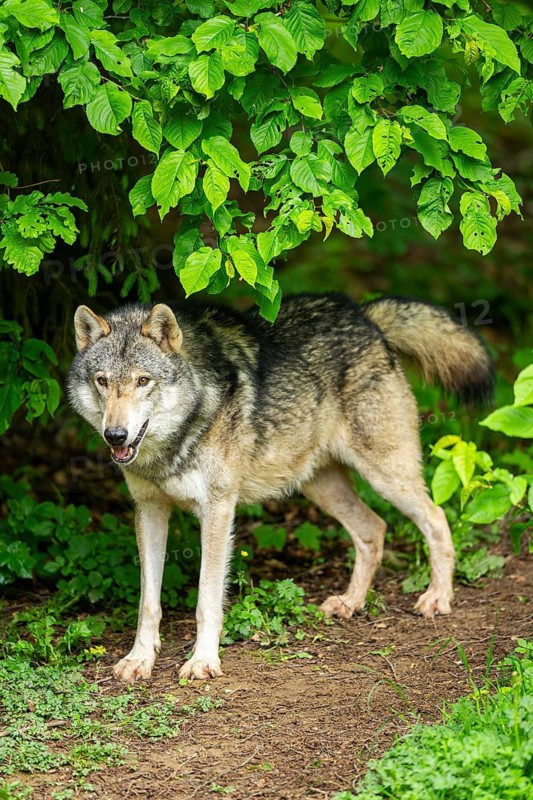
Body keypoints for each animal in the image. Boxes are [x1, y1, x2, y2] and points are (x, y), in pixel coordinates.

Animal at [67, 293, 493, 682]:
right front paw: (140, 659)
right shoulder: (150, 509)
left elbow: (207, 600)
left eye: (143, 381)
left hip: (387, 476)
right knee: (374, 529)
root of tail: (364, 315)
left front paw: (203, 661)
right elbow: (148, 602)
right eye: (102, 381)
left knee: (437, 519)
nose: (115, 435)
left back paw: (438, 598)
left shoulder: (218, 510)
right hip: (321, 487)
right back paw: (350, 603)